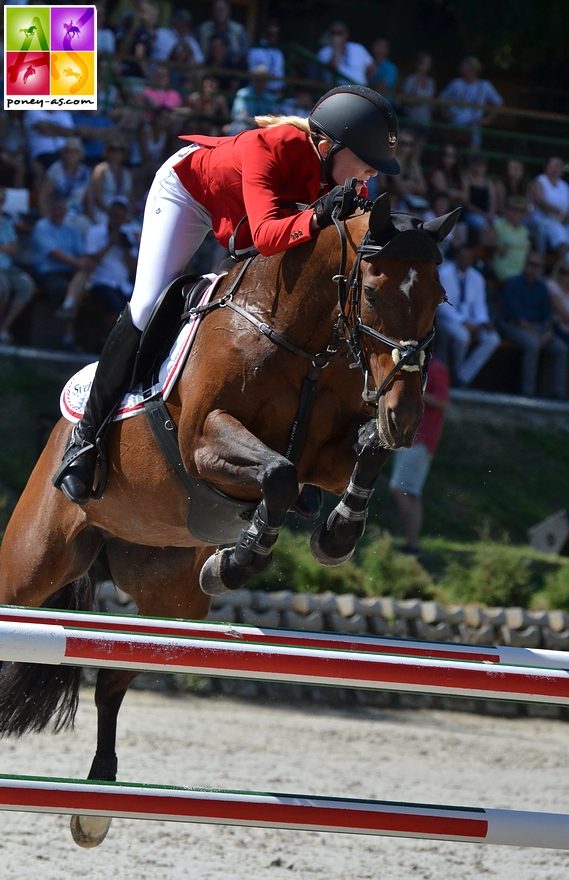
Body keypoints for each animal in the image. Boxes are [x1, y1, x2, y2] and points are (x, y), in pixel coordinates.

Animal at [0, 194, 458, 844]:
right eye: (371, 292)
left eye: (440, 295)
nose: (408, 415)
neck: (299, 338)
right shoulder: (204, 442)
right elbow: (277, 474)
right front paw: (239, 560)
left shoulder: (325, 451)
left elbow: (358, 454)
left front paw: (334, 534)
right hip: (35, 565)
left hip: (169, 597)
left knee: (115, 678)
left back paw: (96, 801)